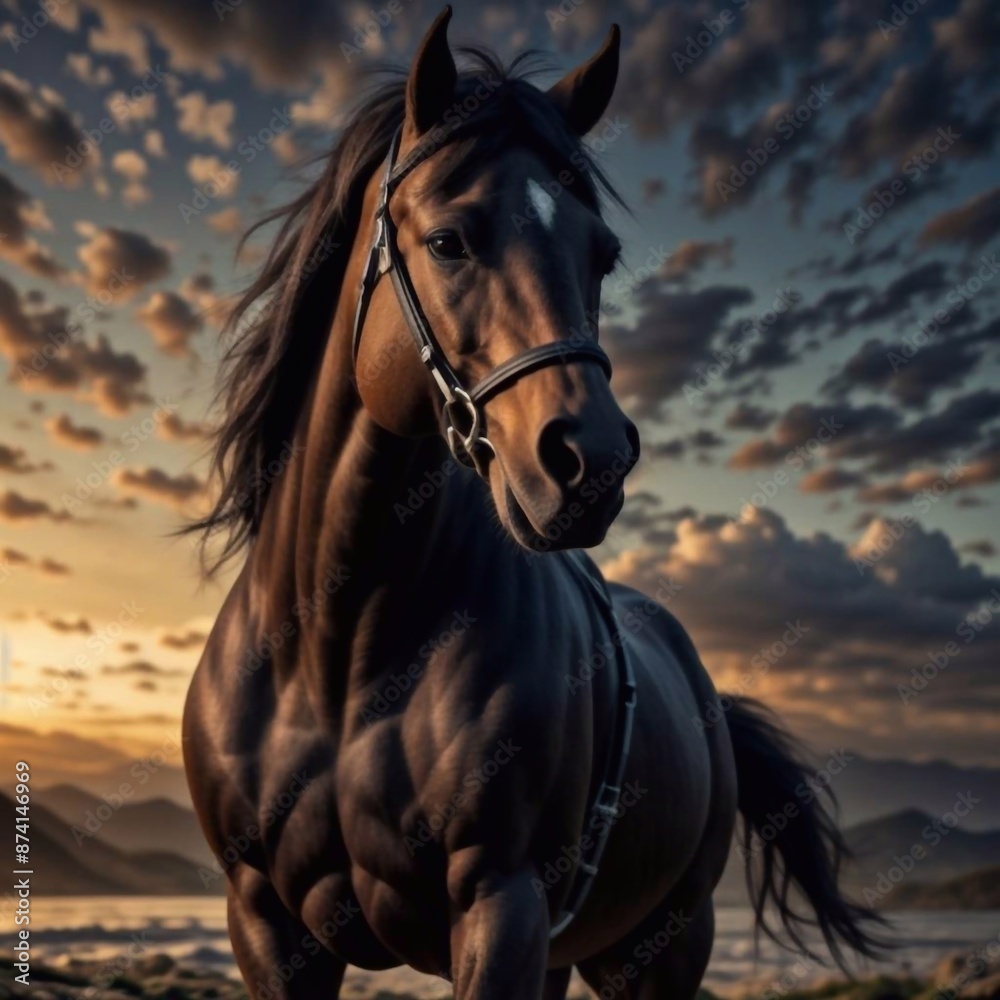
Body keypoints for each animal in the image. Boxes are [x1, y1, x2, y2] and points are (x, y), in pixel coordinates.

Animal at [183, 9, 885, 998]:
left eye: (603, 255)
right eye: (449, 241)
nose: (590, 462)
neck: (336, 656)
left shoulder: (501, 904)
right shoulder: (267, 924)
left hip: (661, 945)